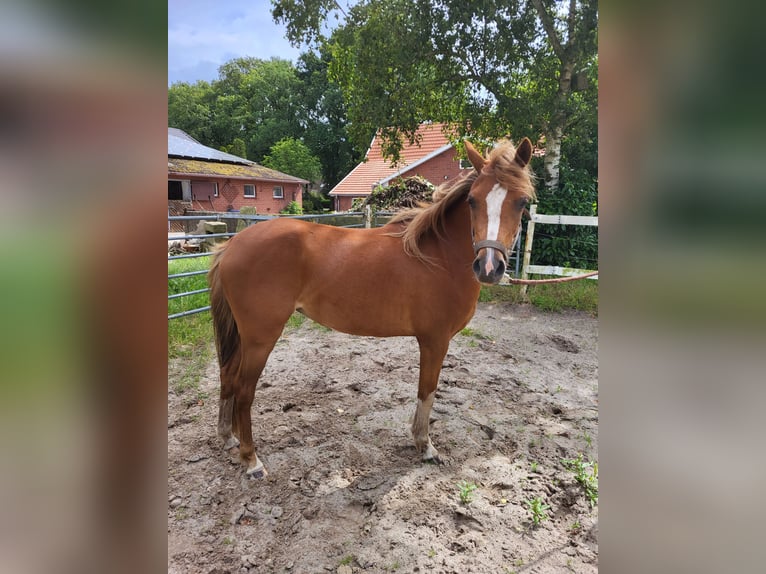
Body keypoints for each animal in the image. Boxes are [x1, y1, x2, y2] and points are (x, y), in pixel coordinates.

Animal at [207, 137, 536, 480]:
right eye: (472, 201)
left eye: (522, 202)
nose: (489, 268)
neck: (438, 255)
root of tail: (231, 244)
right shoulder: (434, 341)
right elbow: (427, 390)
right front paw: (425, 445)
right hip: (260, 338)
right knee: (244, 390)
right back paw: (252, 460)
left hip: (245, 337)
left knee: (227, 376)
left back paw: (228, 437)